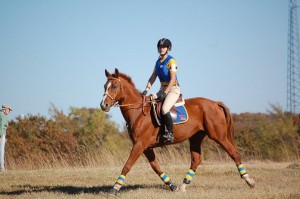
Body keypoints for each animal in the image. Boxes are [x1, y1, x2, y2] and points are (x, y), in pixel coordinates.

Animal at [99, 68, 254, 194]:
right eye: (105, 86)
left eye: (114, 86)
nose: (103, 105)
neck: (138, 111)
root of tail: (215, 103)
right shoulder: (146, 147)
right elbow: (156, 167)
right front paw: (172, 186)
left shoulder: (139, 145)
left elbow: (127, 165)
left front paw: (115, 188)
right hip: (196, 137)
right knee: (196, 160)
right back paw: (183, 186)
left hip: (218, 136)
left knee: (234, 153)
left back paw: (249, 180)